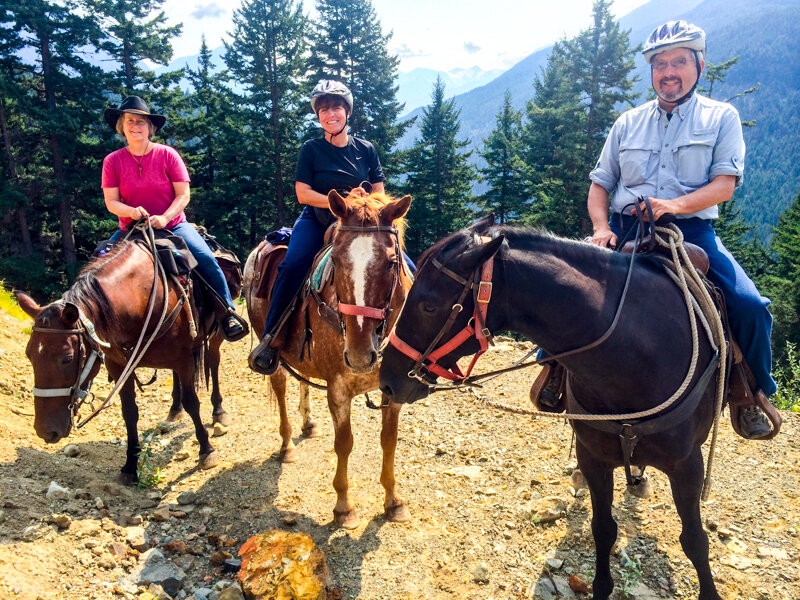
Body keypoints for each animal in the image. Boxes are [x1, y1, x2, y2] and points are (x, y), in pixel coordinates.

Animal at [17, 238, 236, 482]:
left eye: (67, 358)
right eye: (29, 354)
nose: (45, 430)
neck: (144, 297)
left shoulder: (183, 359)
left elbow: (193, 403)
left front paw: (206, 450)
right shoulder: (120, 365)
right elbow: (129, 412)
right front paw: (131, 465)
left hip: (215, 335)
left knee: (213, 363)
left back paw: (218, 411)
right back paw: (174, 410)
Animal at [245, 190, 416, 528]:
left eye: (392, 263)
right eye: (335, 261)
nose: (361, 356)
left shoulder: (394, 390)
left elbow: (389, 440)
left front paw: (393, 501)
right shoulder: (338, 389)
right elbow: (345, 444)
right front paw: (344, 507)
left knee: (304, 381)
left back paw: (309, 424)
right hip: (268, 347)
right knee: (281, 386)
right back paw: (287, 445)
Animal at [384, 219, 728, 600]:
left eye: (428, 306)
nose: (387, 380)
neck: (639, 351)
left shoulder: (688, 465)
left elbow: (694, 539)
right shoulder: (593, 457)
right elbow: (603, 528)